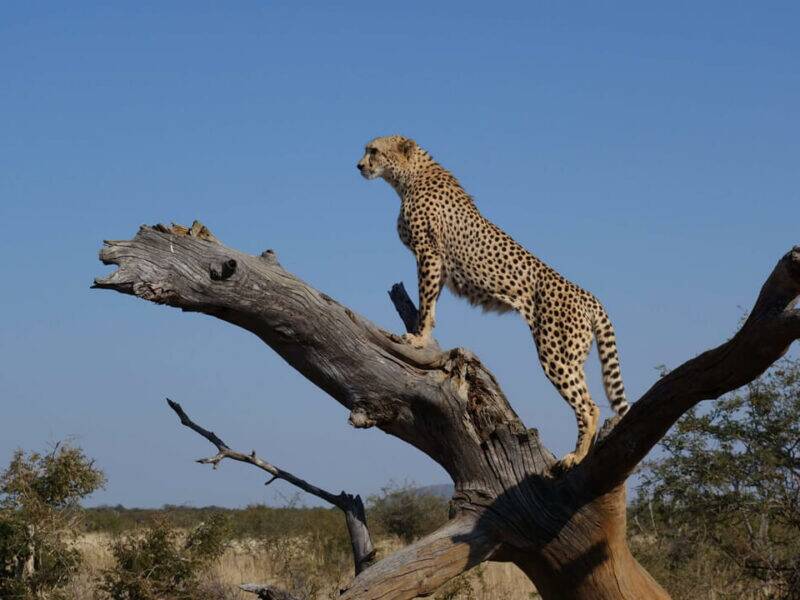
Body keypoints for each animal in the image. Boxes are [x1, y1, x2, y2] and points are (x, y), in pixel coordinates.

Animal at [357, 135, 629, 468]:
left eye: (373, 151)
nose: (359, 165)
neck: (409, 177)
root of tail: (588, 295)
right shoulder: (438, 263)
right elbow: (431, 305)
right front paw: (423, 334)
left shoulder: (429, 254)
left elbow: (426, 302)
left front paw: (418, 339)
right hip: (574, 355)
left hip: (555, 353)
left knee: (589, 406)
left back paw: (575, 456)